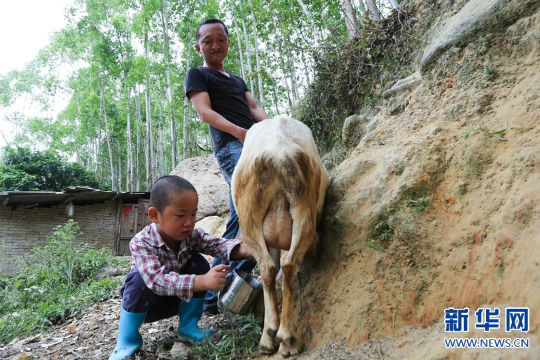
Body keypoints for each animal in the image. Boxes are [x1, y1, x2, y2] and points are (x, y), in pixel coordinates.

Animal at [230, 116, 326, 358]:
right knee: (289, 265)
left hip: (250, 220)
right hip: (303, 212)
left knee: (269, 268)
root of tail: (278, 154)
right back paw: (287, 339)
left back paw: (272, 336)